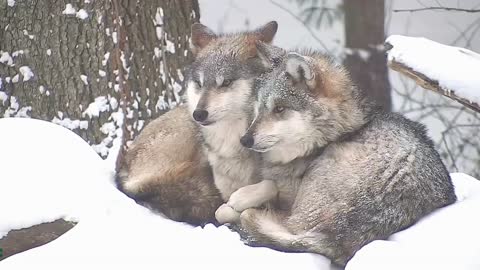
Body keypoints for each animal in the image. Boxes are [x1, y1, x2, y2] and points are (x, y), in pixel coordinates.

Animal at [116, 21, 280, 226]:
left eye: (226, 82)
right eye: (200, 83)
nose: (199, 114)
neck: (233, 146)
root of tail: (123, 171)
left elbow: (269, 188)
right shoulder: (224, 190)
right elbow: (223, 211)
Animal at [232, 44, 458, 266]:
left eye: (279, 109)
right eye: (259, 109)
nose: (245, 140)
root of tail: (335, 239)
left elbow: (270, 189)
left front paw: (240, 199)